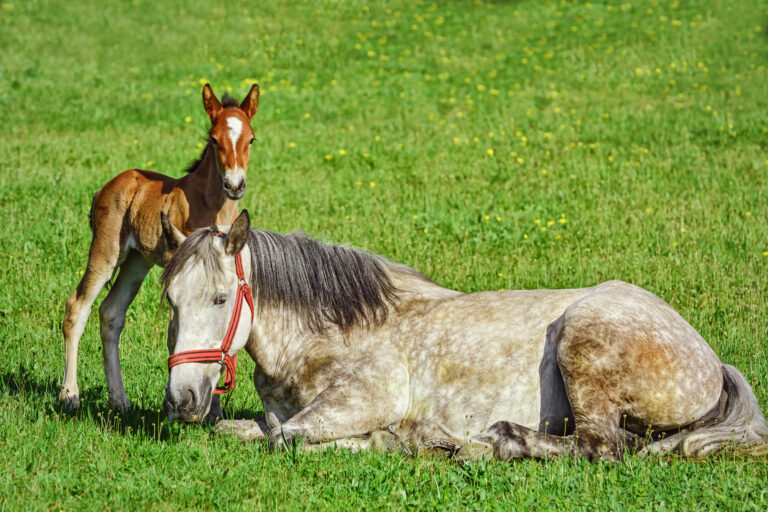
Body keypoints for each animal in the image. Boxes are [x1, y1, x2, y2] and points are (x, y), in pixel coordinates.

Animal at [59, 83, 260, 414]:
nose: (235, 185)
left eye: (252, 139)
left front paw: (213, 411)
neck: (209, 205)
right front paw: (180, 407)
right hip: (106, 251)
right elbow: (177, 334)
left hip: (136, 261)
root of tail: (106, 187)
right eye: (214, 139)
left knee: (111, 312)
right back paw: (69, 395)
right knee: (77, 306)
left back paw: (119, 400)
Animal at [160, 210, 768, 461]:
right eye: (169, 301)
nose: (183, 399)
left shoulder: (363, 400)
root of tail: (710, 361)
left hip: (583, 341)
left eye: (220, 299)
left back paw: (500, 441)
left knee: (601, 447)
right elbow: (250, 430)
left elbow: (289, 438)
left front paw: (398, 439)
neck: (328, 333)